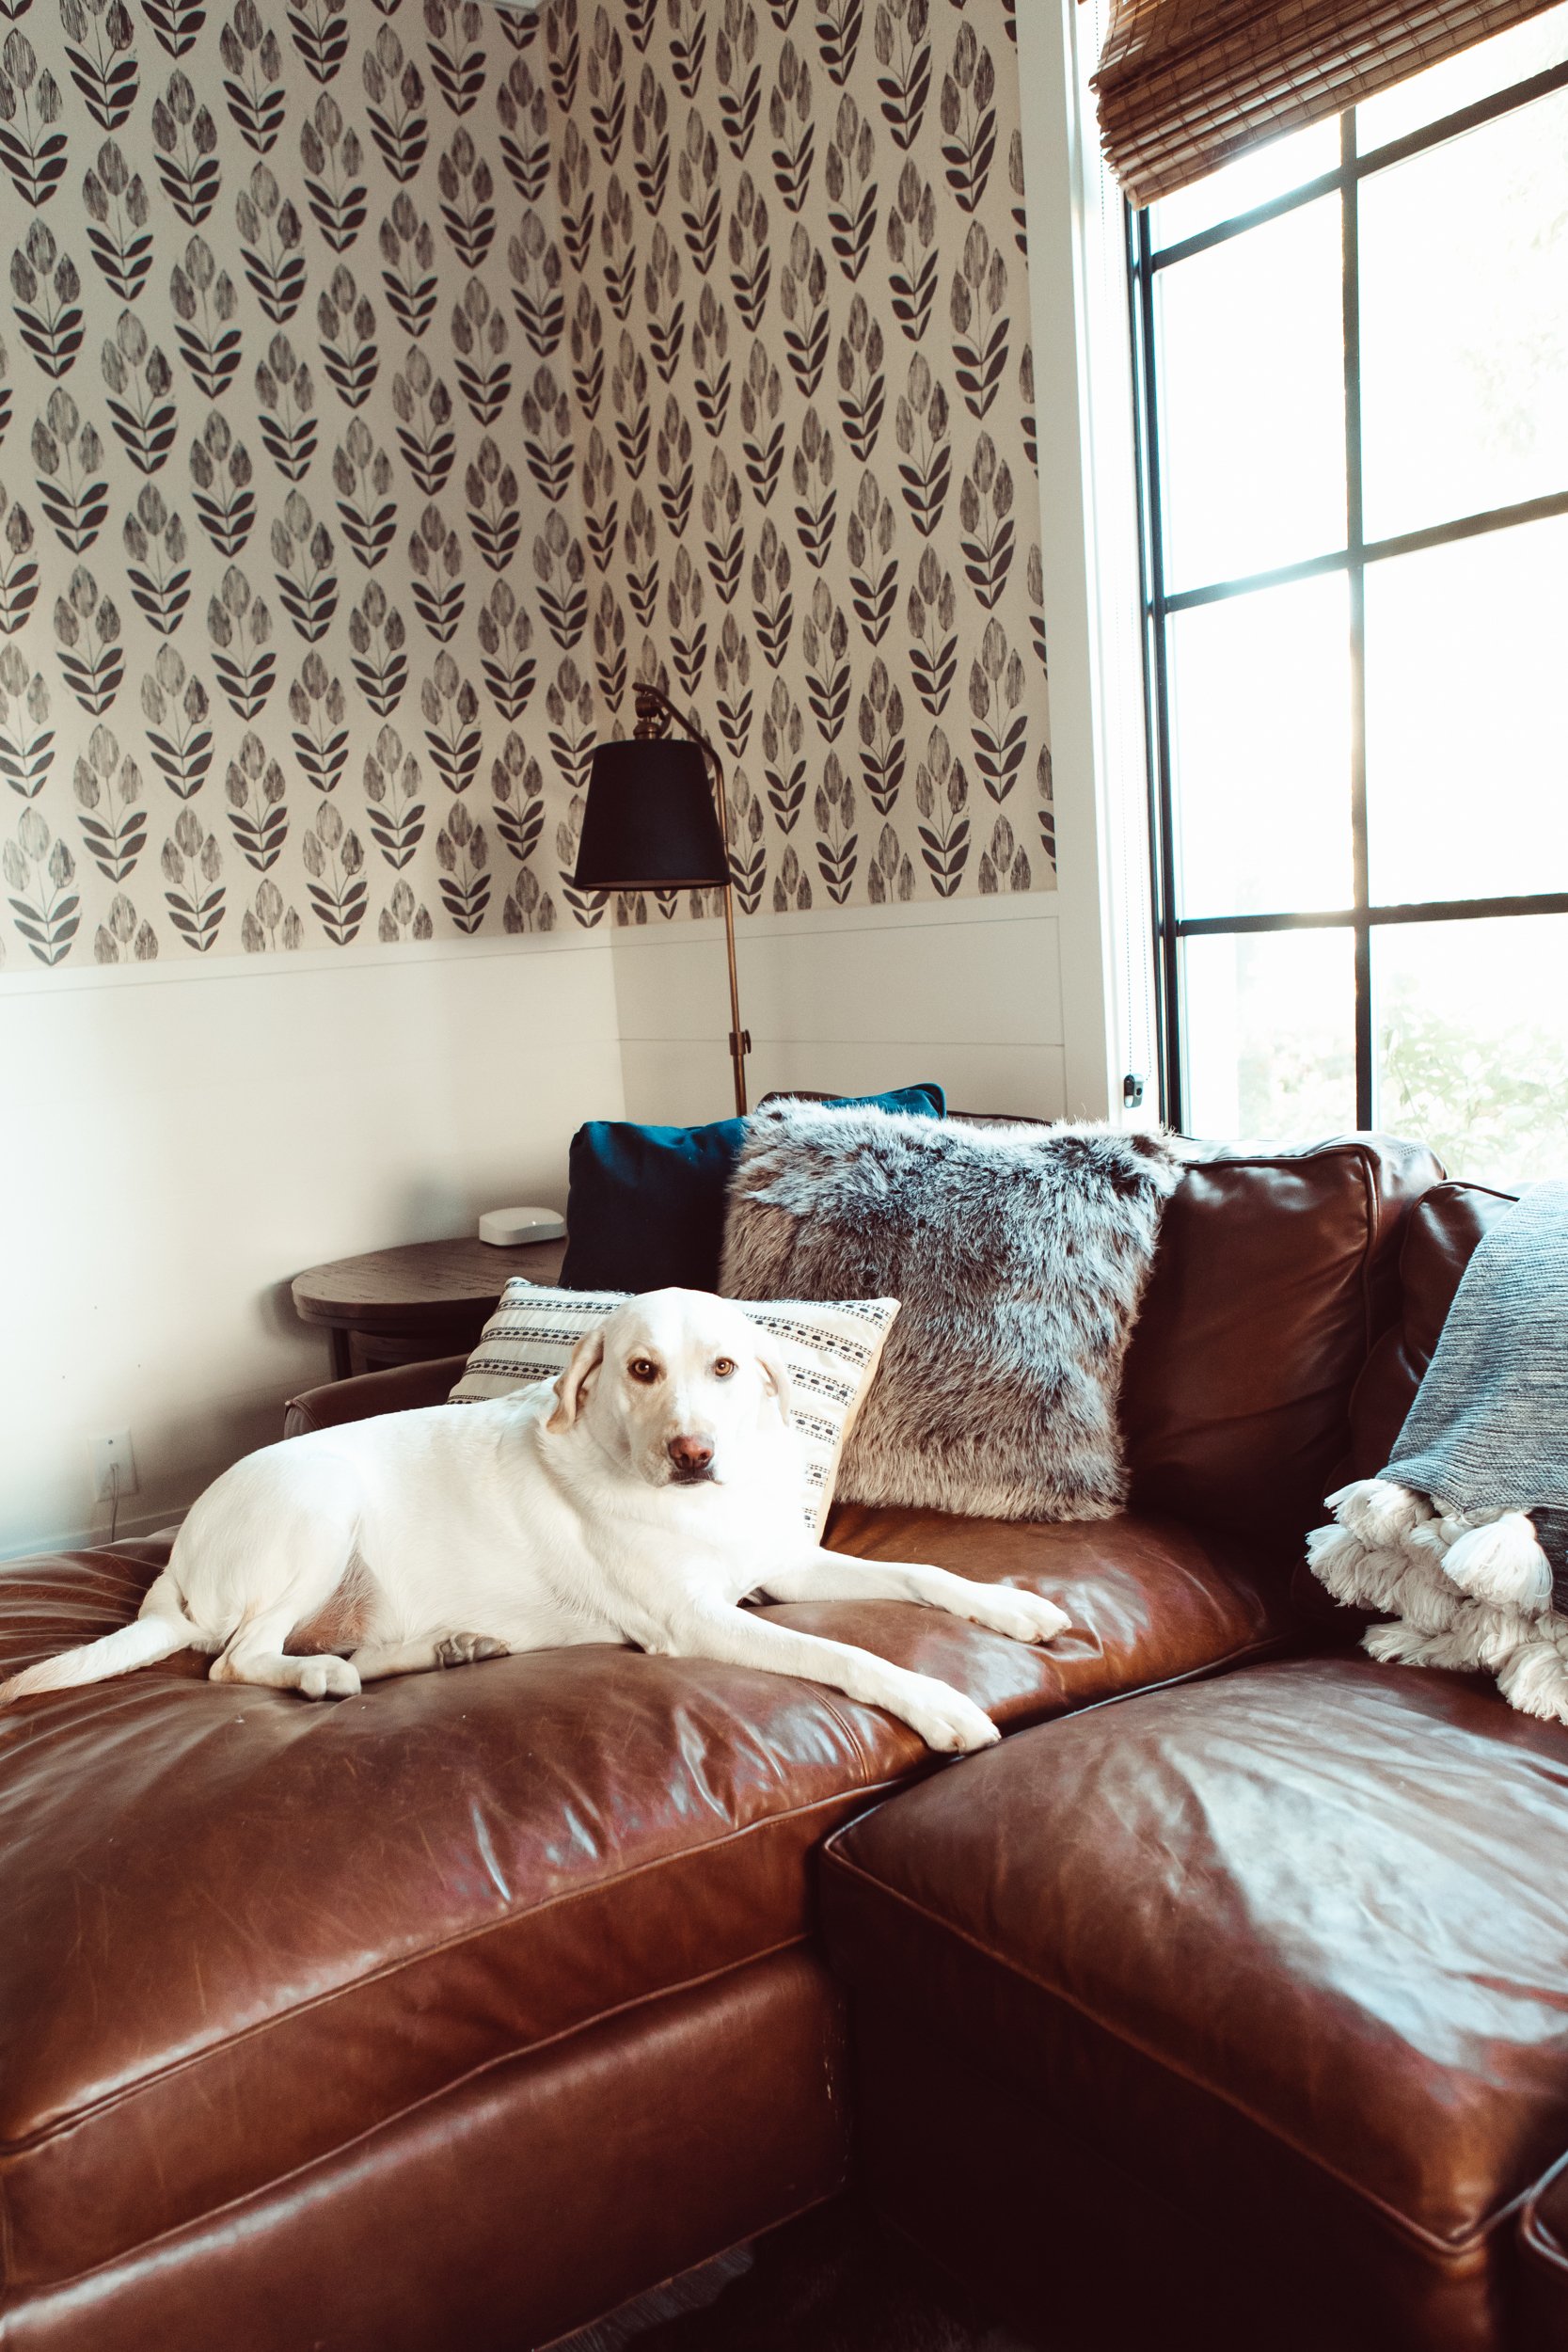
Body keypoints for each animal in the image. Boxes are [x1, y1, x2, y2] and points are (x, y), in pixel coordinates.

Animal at [0, 1289, 1071, 1750]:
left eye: (725, 1367)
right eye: (640, 1369)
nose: (694, 1453)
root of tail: (173, 1566)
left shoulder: (782, 1566)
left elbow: (923, 1576)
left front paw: (1014, 1607)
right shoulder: (697, 1621)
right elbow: (844, 1652)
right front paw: (938, 1704)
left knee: (324, 1645)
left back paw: (435, 1650)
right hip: (316, 1506)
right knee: (236, 1660)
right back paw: (319, 1676)